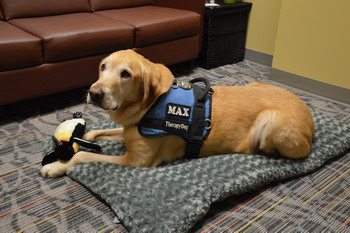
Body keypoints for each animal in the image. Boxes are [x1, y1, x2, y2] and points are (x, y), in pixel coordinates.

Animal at [41, 49, 314, 177]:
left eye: (126, 74)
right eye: (102, 67)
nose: (94, 93)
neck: (149, 106)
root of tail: (310, 116)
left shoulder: (137, 161)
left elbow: (82, 156)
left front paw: (56, 166)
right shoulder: (129, 128)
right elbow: (99, 131)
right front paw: (85, 137)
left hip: (272, 124)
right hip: (254, 84)